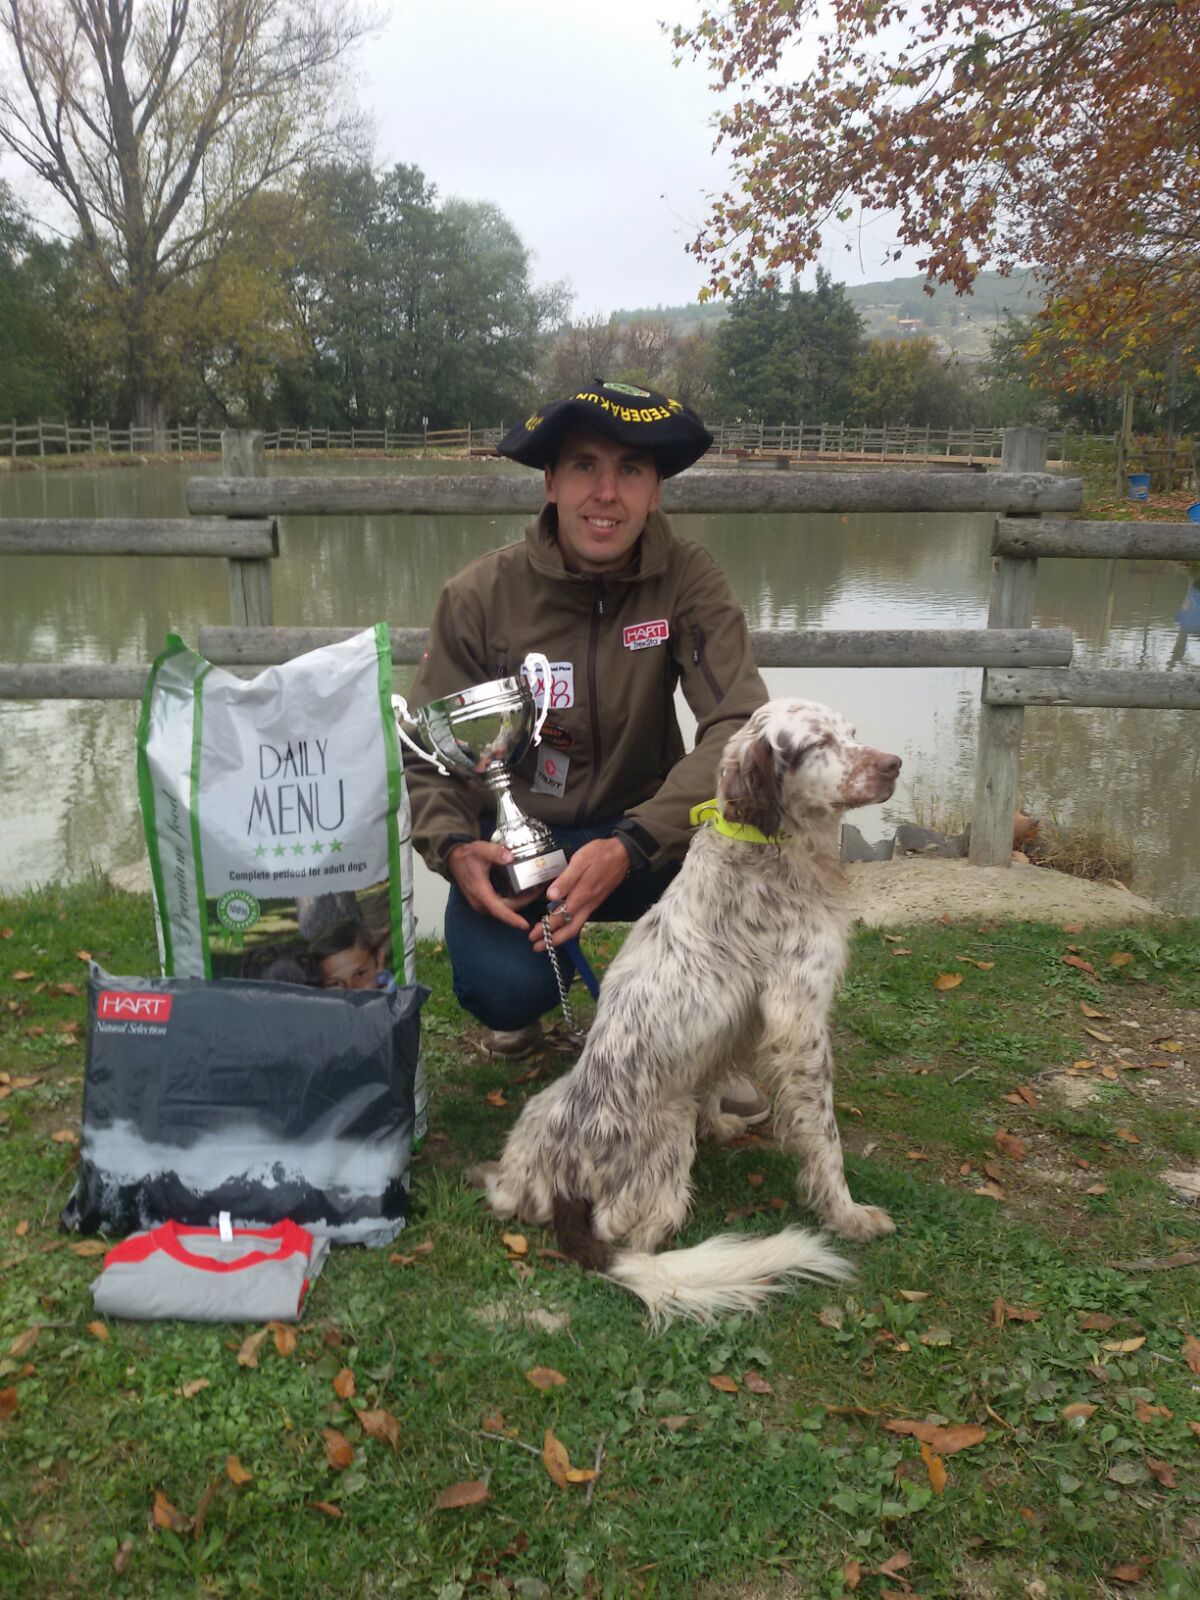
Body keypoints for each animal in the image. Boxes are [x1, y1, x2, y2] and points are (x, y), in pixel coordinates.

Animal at [473, 700, 908, 1324]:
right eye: (817, 744)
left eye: (851, 734)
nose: (893, 764)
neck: (766, 845)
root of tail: (562, 1184)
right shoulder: (801, 1021)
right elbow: (825, 1139)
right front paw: (847, 1214)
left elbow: (716, 1079)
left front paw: (721, 1121)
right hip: (666, 1139)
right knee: (635, 1235)